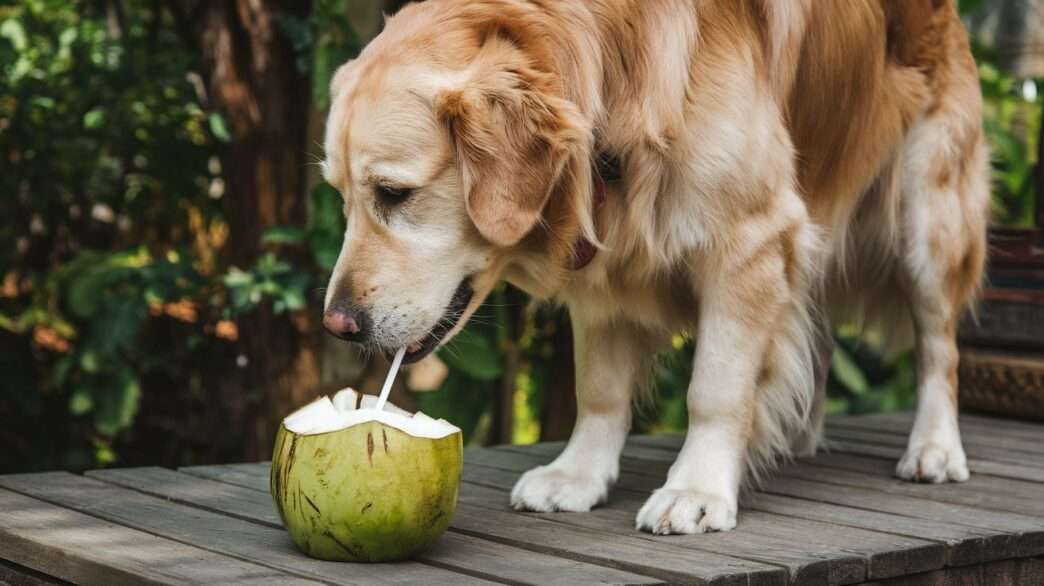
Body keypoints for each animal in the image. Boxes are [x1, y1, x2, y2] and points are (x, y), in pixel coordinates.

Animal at [321, 0, 989, 534]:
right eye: (341, 197)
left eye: (394, 193)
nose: (338, 327)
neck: (615, 64)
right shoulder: (604, 261)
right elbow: (599, 389)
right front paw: (577, 475)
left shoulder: (750, 239)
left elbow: (715, 388)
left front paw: (697, 488)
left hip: (927, 220)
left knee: (940, 350)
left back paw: (934, 449)